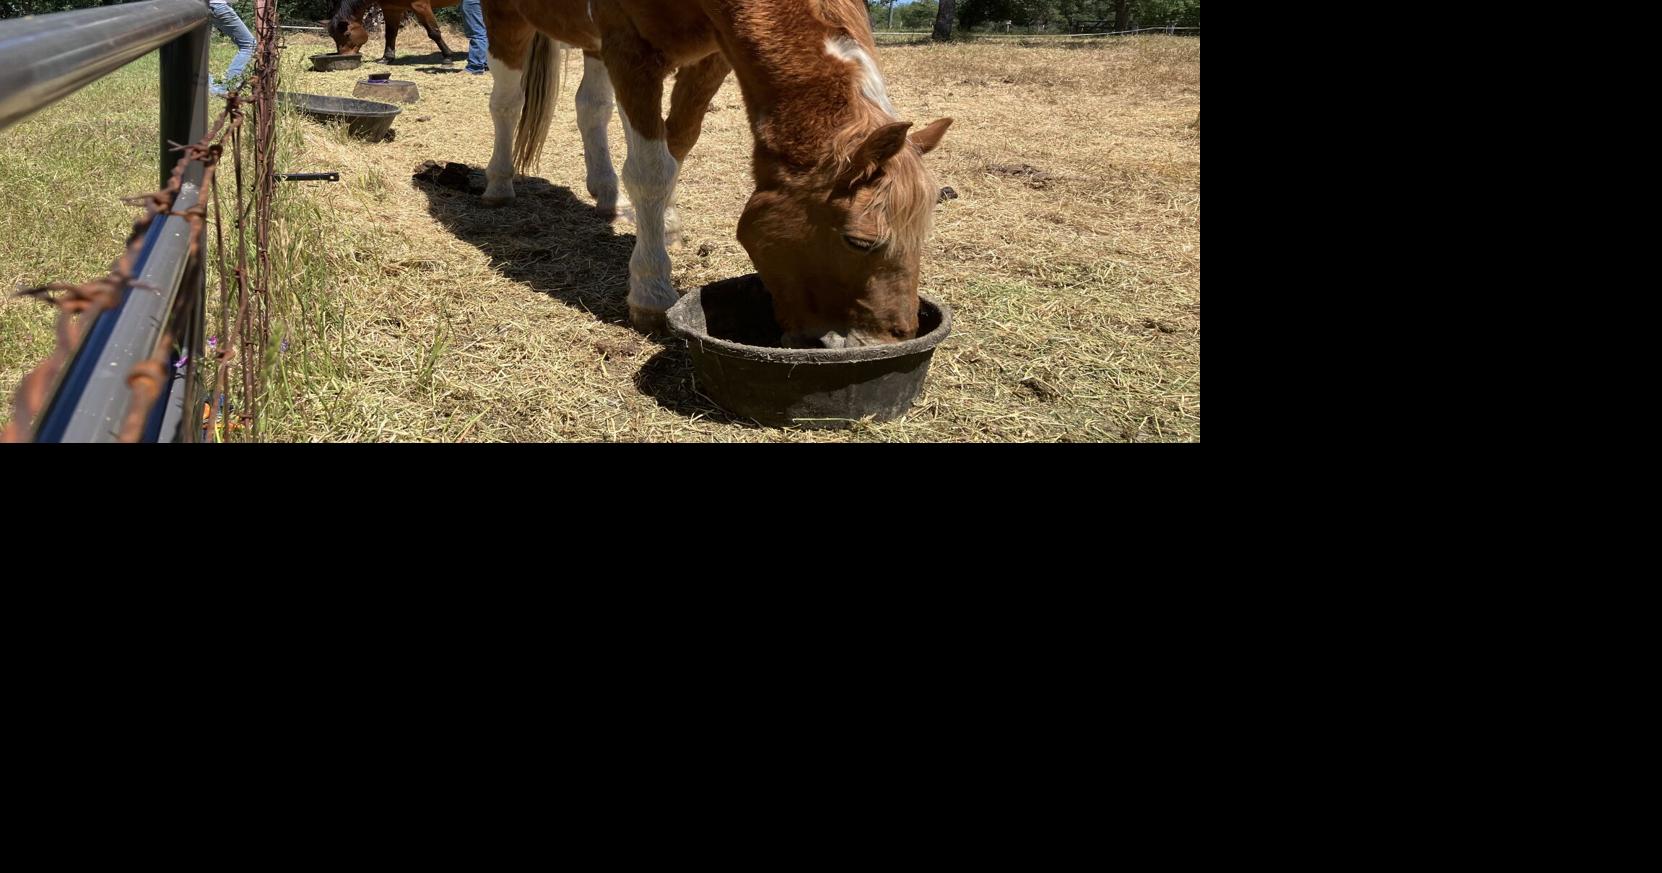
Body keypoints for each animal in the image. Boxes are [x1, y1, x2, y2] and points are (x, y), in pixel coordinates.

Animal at [326, 0, 463, 64]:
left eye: (347, 34)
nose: (344, 56)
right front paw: (387, 58)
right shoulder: (391, 8)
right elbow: (390, 34)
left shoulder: (421, 7)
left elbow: (434, 33)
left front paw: (447, 56)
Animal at [481, 0, 952, 346]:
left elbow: (677, 144)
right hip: (505, 16)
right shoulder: (630, 50)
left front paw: (666, 226)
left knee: (591, 106)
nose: (892, 339)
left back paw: (608, 196)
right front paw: (651, 292)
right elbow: (651, 169)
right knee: (506, 102)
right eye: (858, 241)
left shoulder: (709, 57)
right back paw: (498, 184)